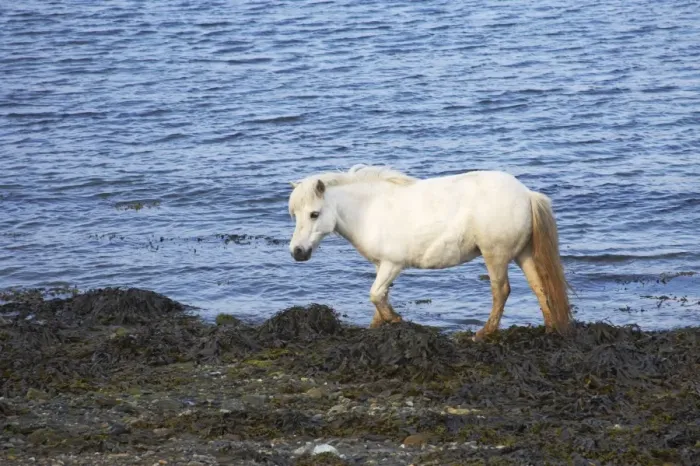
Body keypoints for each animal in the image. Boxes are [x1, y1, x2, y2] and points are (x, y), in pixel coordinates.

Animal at [287, 164, 571, 340]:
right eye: (295, 215)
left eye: (314, 214)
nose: (297, 252)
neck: (370, 210)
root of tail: (527, 194)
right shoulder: (382, 267)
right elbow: (380, 298)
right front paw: (377, 327)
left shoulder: (392, 264)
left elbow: (376, 295)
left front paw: (396, 320)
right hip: (522, 253)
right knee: (539, 286)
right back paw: (550, 329)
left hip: (496, 254)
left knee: (501, 291)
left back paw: (483, 334)